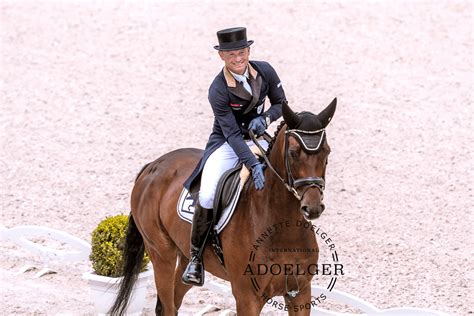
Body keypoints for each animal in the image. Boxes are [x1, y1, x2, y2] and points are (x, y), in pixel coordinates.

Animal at [110, 97, 336, 314]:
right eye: (293, 153)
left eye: (327, 152)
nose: (312, 207)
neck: (282, 228)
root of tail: (153, 166)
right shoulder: (248, 298)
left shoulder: (300, 293)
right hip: (161, 254)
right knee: (166, 305)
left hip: (184, 257)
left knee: (173, 302)